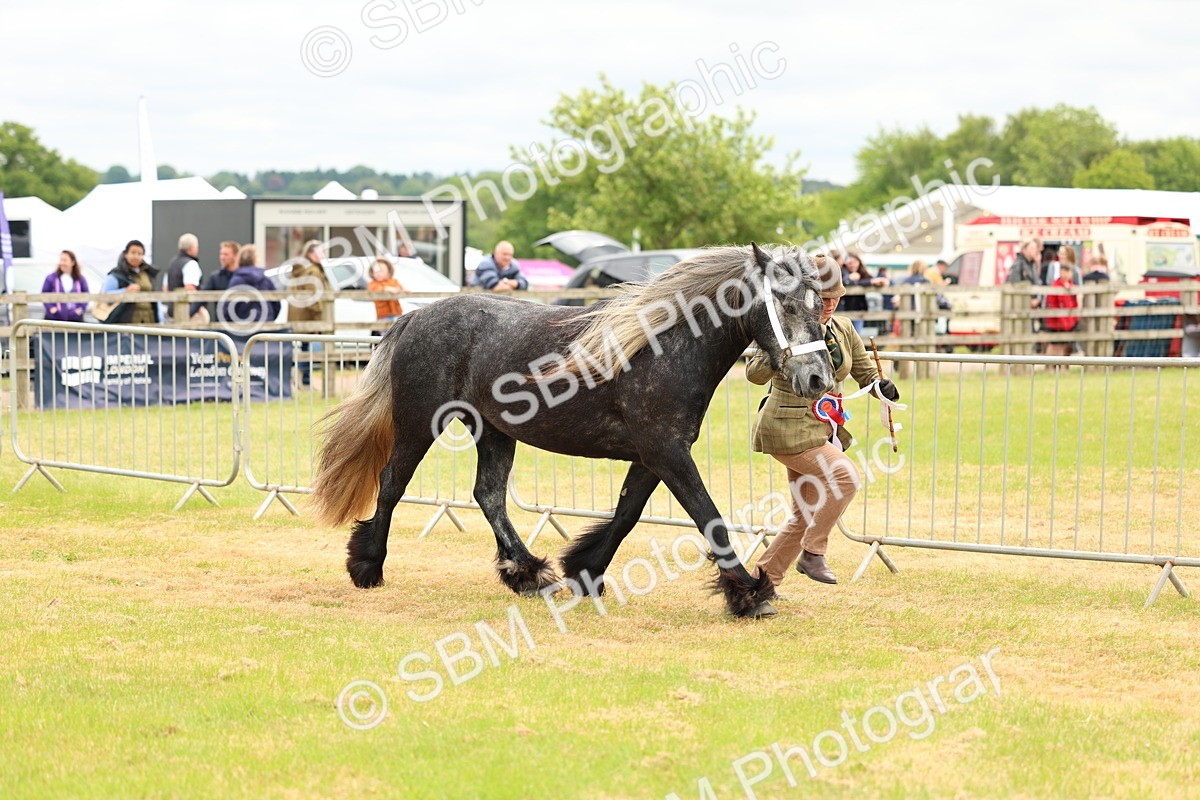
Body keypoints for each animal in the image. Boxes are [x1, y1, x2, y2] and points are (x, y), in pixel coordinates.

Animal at [310, 243, 834, 617]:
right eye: (786, 305)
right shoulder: (666, 452)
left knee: (489, 495)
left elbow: (626, 516)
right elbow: (709, 517)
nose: (819, 380)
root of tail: (415, 316)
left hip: (493, 431)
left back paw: (527, 574)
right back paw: (368, 565)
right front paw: (749, 594)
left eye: (819, 306)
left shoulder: (653, 457)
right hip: (420, 423)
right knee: (392, 483)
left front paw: (583, 571)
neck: (664, 346)